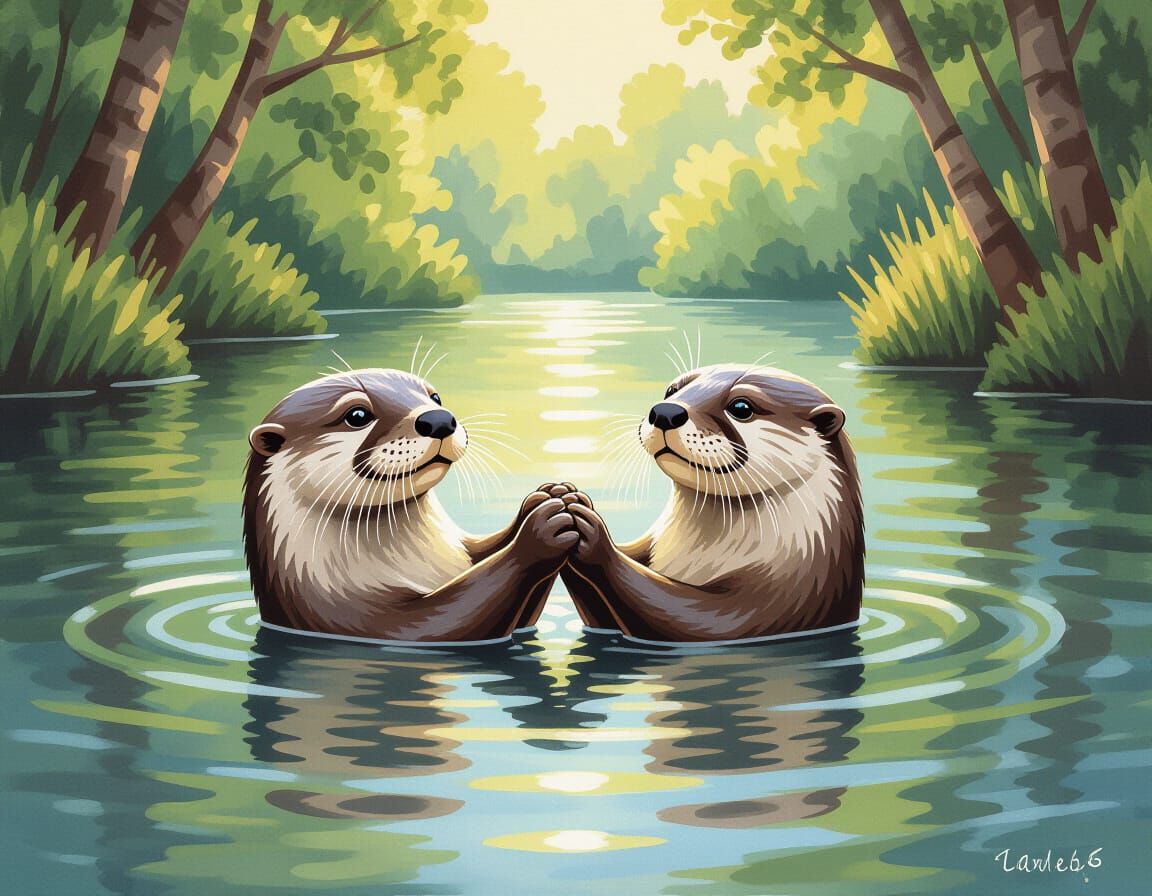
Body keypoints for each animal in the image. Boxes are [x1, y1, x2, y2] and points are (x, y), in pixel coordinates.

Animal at [243, 368, 583, 643]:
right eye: (357, 415)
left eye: (435, 396)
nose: (439, 419)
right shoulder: (346, 615)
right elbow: (448, 618)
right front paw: (541, 531)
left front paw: (551, 497)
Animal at [561, 364, 864, 641]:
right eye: (672, 390)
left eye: (740, 407)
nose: (665, 412)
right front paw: (563, 504)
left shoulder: (787, 596)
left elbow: (693, 617)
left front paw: (593, 536)